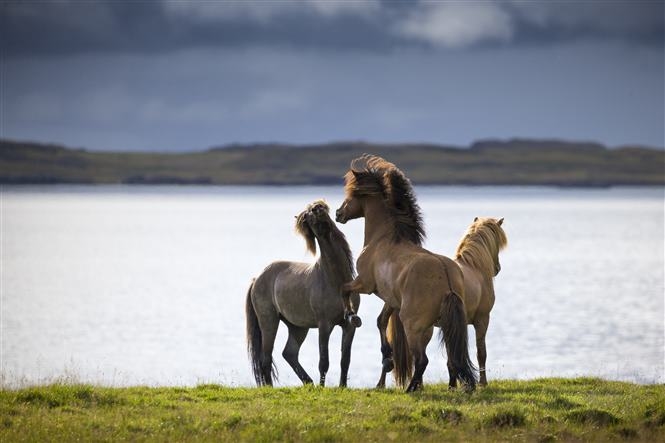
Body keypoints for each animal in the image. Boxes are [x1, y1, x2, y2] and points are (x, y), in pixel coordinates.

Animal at [244, 201, 360, 388]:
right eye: (310, 216)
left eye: (322, 210)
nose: (327, 225)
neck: (336, 280)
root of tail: (257, 278)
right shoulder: (324, 325)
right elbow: (324, 361)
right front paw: (322, 388)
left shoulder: (349, 326)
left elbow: (345, 360)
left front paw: (342, 387)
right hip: (269, 321)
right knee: (266, 358)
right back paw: (271, 387)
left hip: (297, 327)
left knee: (289, 353)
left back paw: (308, 382)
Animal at [338, 155, 478, 392]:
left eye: (351, 195)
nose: (338, 214)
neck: (383, 239)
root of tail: (447, 279)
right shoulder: (391, 299)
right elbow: (381, 321)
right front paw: (387, 356)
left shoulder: (364, 284)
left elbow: (345, 289)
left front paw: (350, 314)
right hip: (441, 325)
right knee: (451, 357)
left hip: (413, 326)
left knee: (422, 360)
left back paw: (411, 387)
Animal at [374, 218, 508, 388]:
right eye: (497, 241)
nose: (497, 268)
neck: (475, 269)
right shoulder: (482, 320)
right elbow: (481, 352)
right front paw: (482, 383)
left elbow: (451, 357)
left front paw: (453, 385)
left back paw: (387, 382)